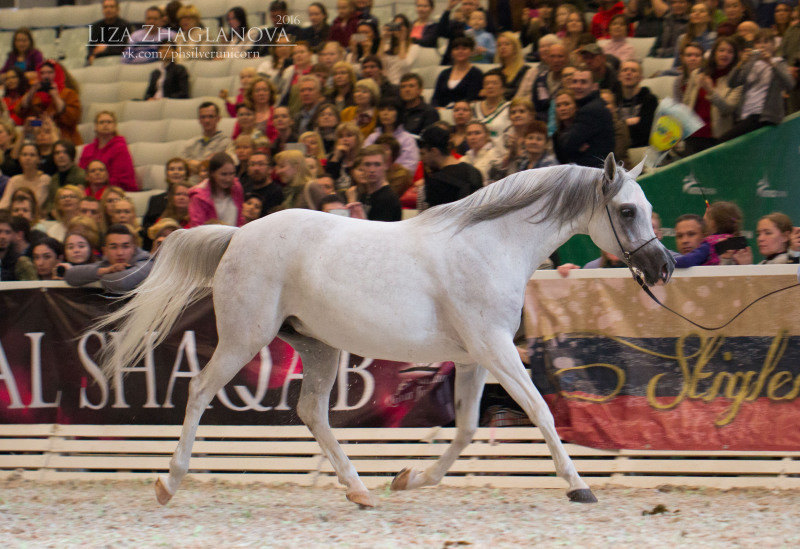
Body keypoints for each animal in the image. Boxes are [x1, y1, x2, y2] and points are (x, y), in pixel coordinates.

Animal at [100, 152, 676, 508]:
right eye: (627, 210)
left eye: (650, 207)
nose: (663, 268)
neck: (490, 246)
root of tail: (238, 235)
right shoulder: (495, 350)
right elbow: (541, 411)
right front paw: (580, 487)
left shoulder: (472, 358)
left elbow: (466, 429)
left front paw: (408, 478)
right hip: (246, 338)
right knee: (200, 390)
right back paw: (168, 483)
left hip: (319, 347)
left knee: (312, 412)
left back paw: (360, 490)